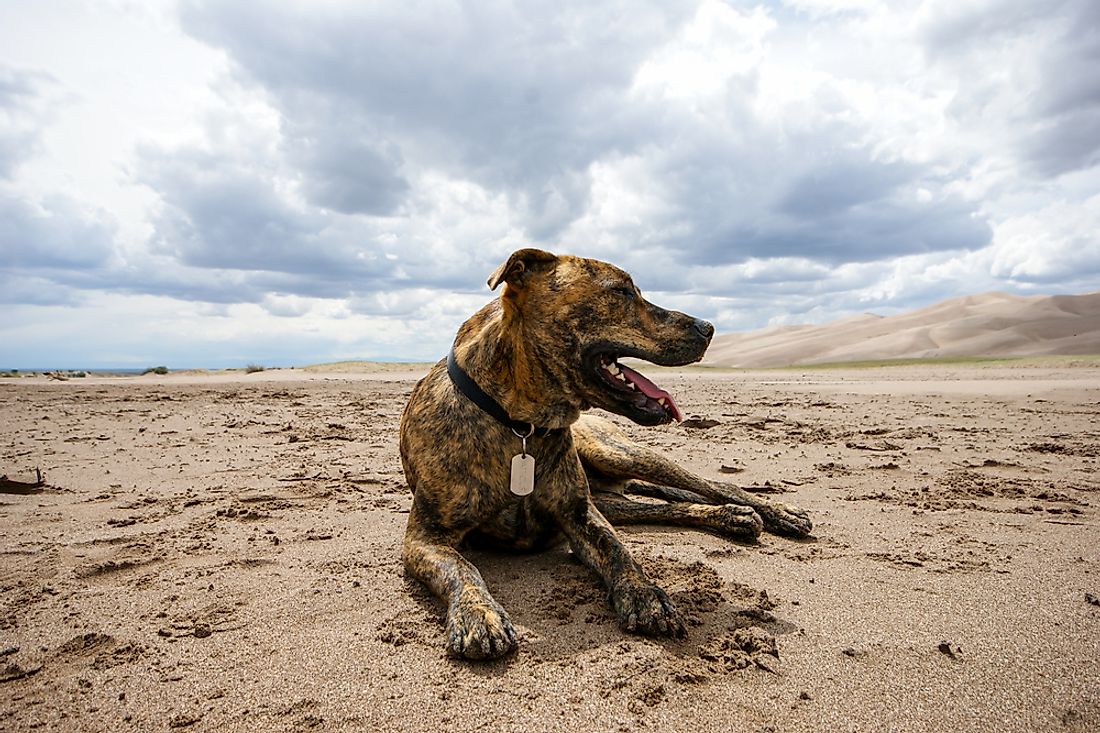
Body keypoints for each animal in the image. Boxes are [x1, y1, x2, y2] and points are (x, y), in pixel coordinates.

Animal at [400, 248, 814, 660]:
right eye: (621, 291)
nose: (709, 327)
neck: (519, 425)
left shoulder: (581, 515)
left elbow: (617, 550)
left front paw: (644, 593)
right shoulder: (424, 538)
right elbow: (461, 568)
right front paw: (478, 614)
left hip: (620, 454)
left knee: (710, 485)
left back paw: (776, 512)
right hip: (612, 498)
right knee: (666, 506)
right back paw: (732, 517)